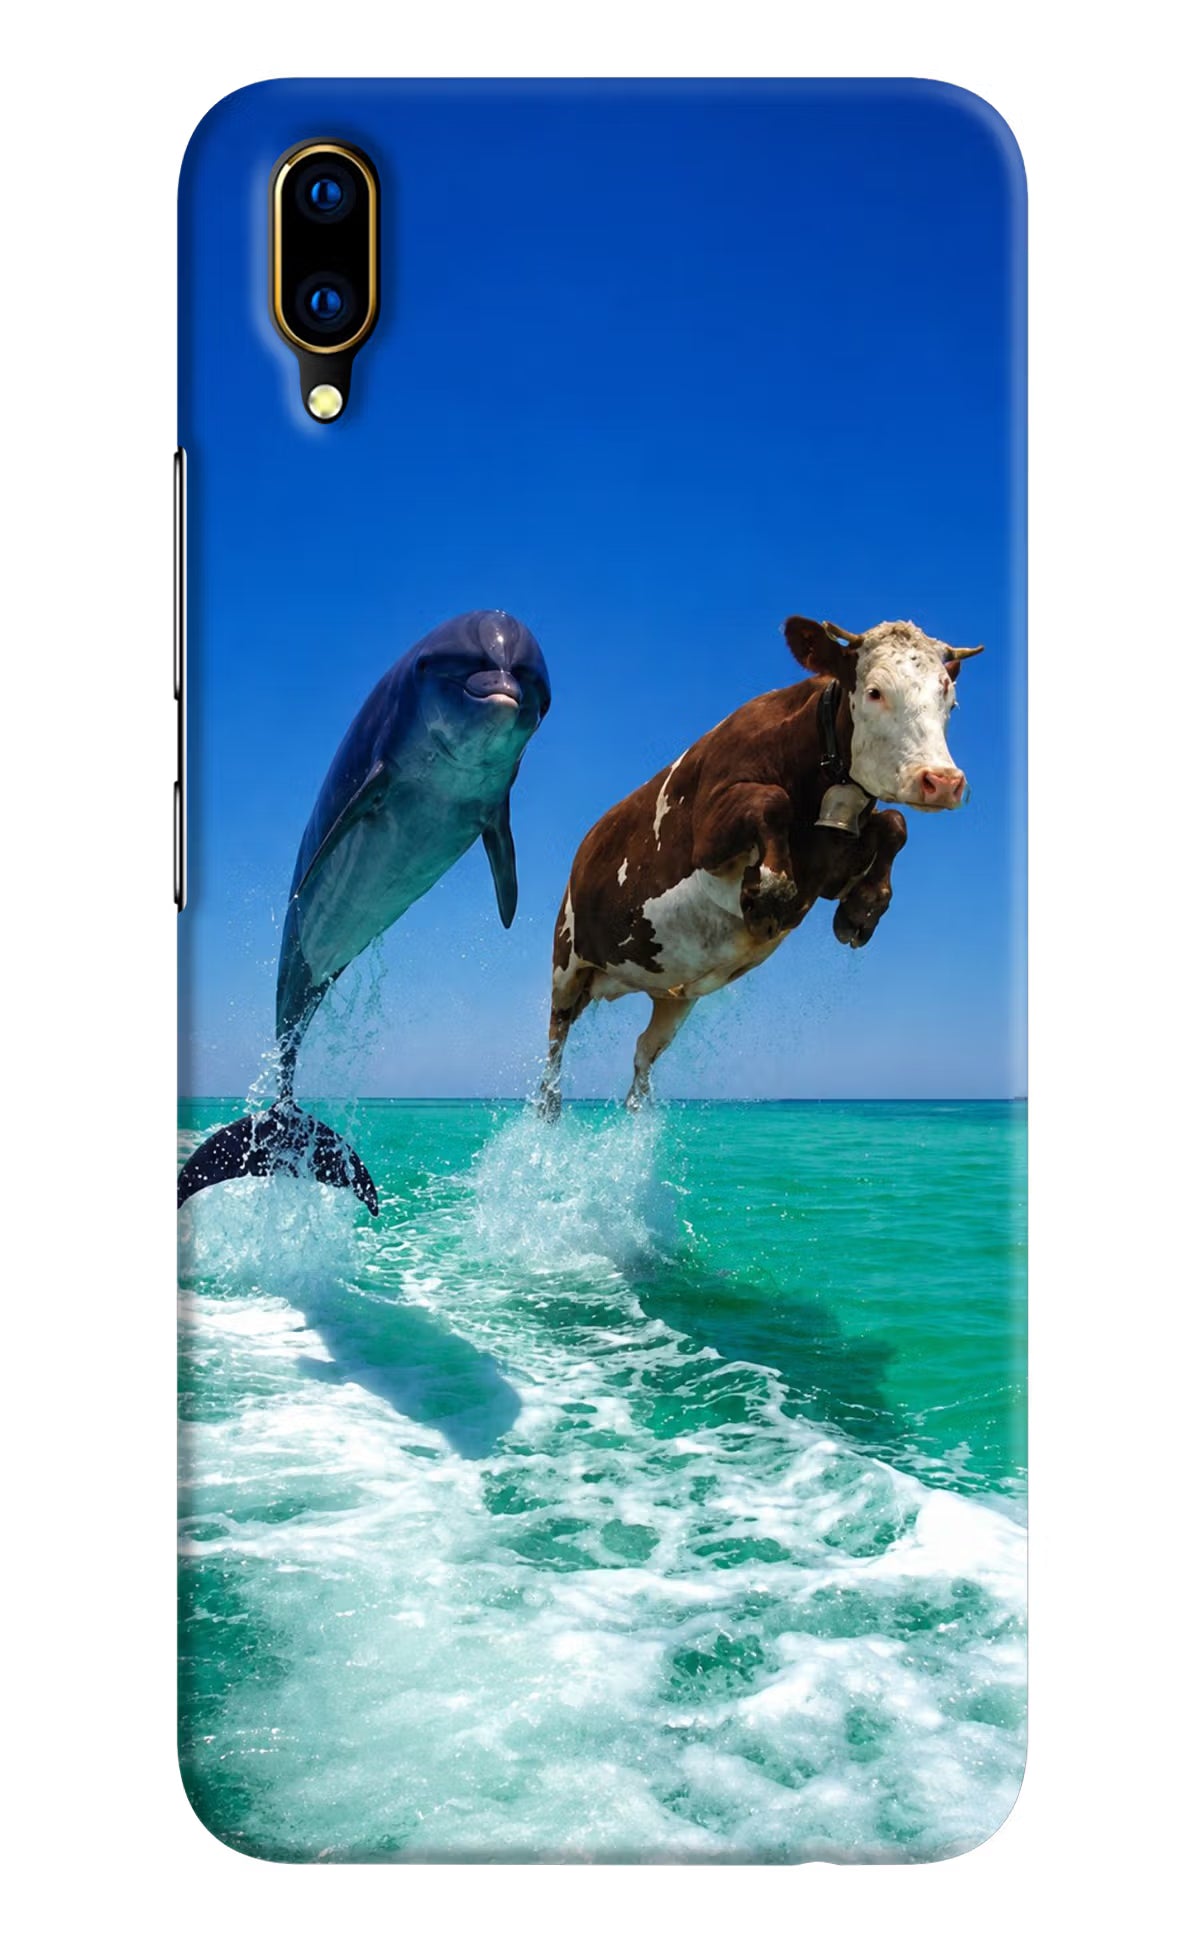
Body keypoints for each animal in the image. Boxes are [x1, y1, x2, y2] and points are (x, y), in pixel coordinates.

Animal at [537, 614, 983, 1117]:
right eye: (874, 691)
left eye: (950, 699)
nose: (942, 781)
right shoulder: (709, 834)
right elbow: (772, 801)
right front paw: (768, 893)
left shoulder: (829, 867)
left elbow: (894, 823)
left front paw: (862, 909)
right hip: (566, 962)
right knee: (554, 1044)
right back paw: (549, 1106)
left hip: (673, 995)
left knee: (643, 1053)